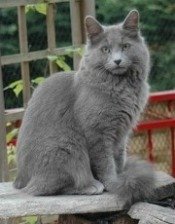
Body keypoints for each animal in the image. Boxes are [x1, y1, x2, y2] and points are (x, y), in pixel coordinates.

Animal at [14, 10, 155, 206]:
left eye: (125, 46)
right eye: (105, 49)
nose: (117, 60)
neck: (122, 88)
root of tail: (19, 180)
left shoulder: (121, 132)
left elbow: (119, 157)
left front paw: (121, 176)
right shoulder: (98, 132)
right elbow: (105, 162)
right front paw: (114, 183)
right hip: (68, 147)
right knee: (45, 188)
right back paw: (92, 185)